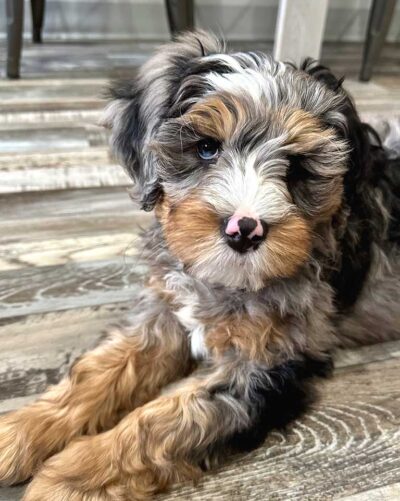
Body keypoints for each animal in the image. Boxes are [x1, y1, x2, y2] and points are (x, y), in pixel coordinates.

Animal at [0, 31, 400, 500]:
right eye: (206, 148)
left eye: (298, 169)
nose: (244, 230)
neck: (222, 281)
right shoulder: (162, 319)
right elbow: (98, 372)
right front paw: (21, 432)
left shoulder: (266, 366)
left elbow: (166, 417)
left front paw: (75, 477)